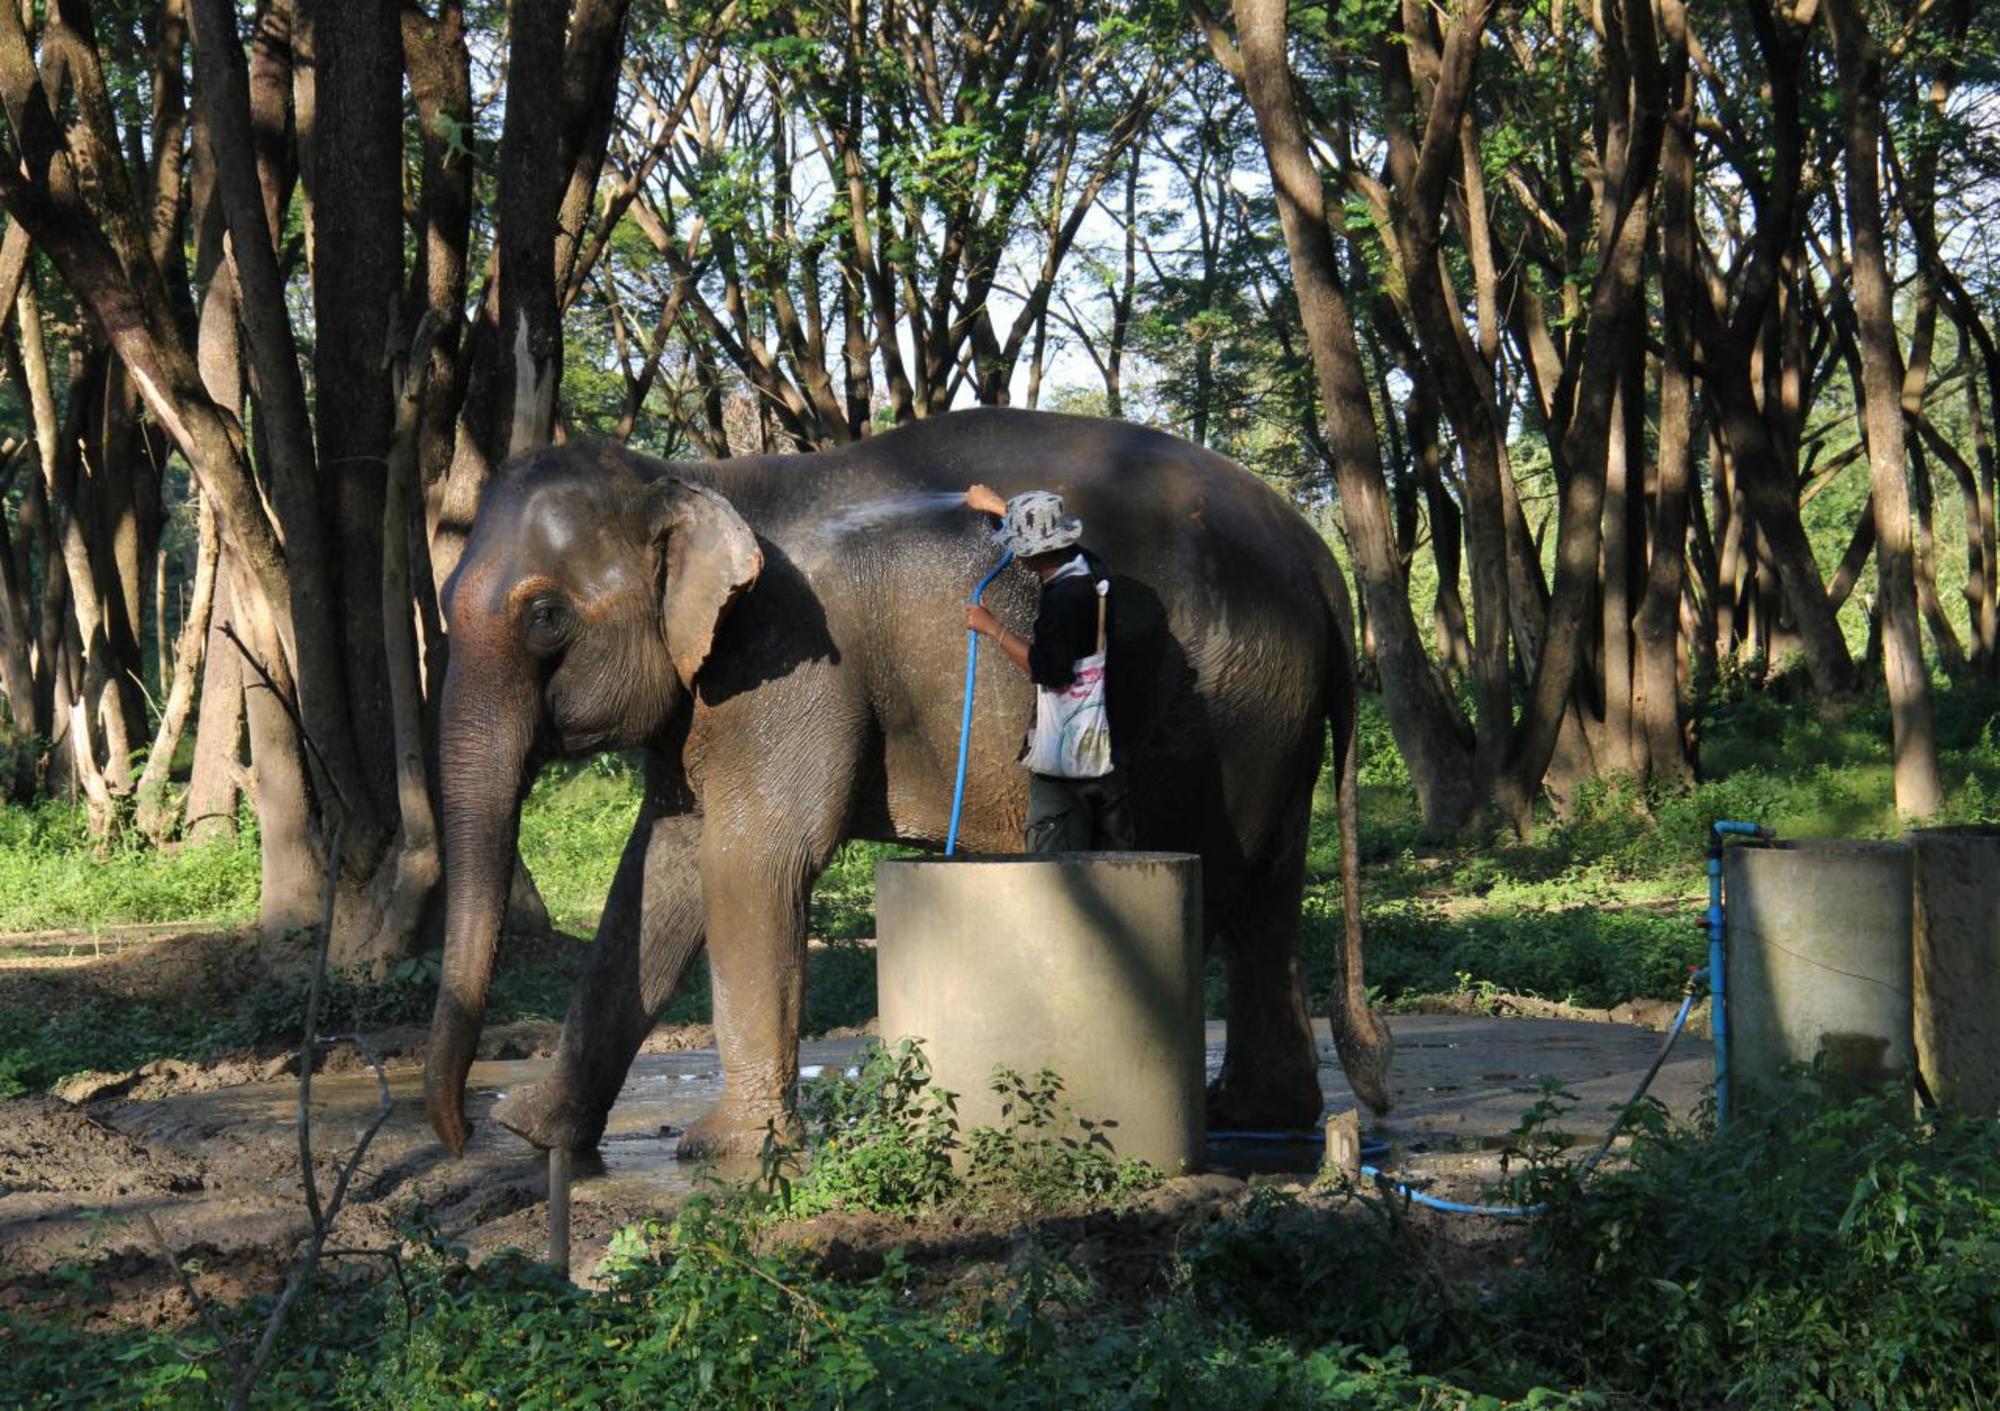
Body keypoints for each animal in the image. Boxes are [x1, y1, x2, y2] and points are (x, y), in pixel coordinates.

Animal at [424, 406, 1391, 1159]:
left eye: (546, 617)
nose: (463, 1134)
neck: (695, 477)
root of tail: (1318, 555)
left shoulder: (793, 658)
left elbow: (753, 860)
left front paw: (725, 1152)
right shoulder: (709, 688)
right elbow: (661, 870)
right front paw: (537, 1132)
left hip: (1221, 712)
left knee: (1217, 886)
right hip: (1271, 712)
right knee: (1263, 897)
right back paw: (1253, 1115)